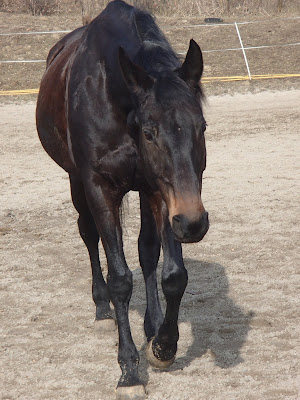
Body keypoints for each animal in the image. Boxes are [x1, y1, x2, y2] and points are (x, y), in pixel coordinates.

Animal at [35, 1, 209, 398]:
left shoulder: (160, 191)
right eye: (150, 132)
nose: (194, 223)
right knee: (89, 235)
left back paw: (152, 325)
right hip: (76, 183)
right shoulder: (100, 187)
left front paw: (163, 345)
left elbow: (171, 272)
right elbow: (120, 279)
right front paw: (129, 368)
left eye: (202, 127)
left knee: (146, 252)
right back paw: (101, 306)